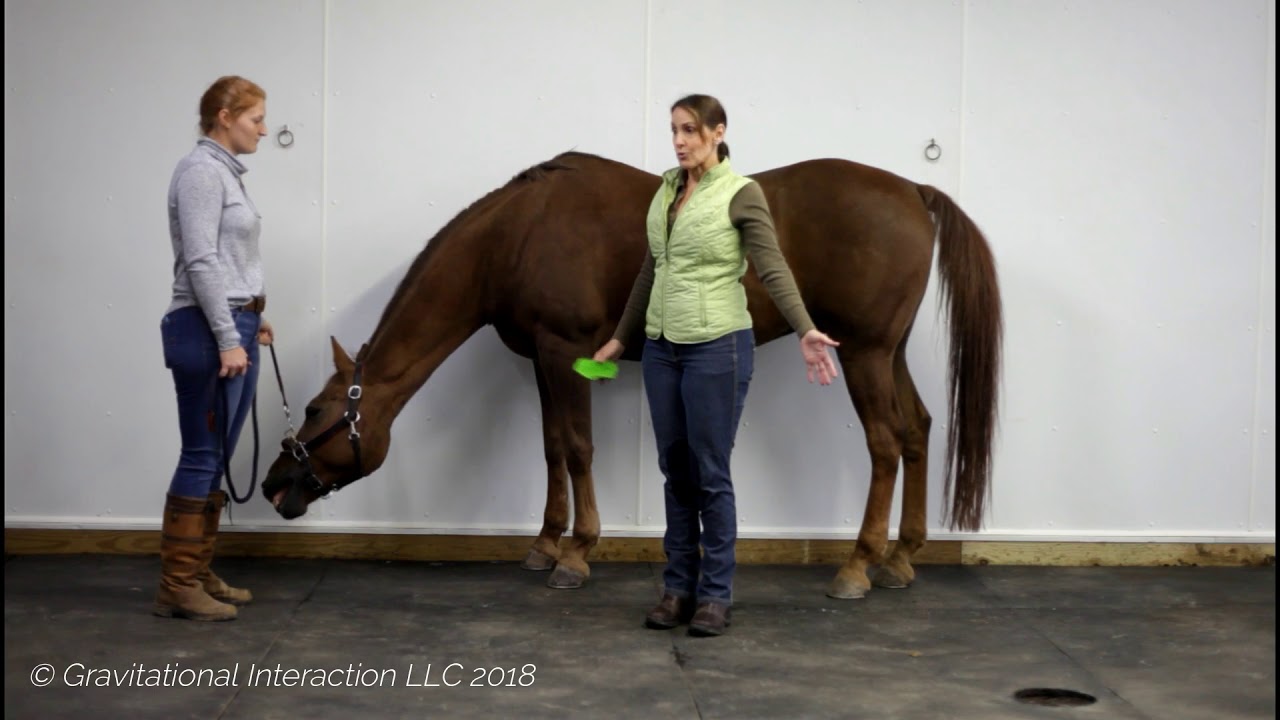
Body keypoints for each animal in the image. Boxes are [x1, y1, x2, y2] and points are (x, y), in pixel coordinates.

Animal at [261, 151, 1002, 600]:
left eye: (318, 411)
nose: (271, 485)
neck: (514, 237)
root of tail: (913, 191)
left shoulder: (564, 351)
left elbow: (578, 448)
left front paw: (577, 552)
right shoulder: (543, 360)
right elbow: (553, 448)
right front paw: (545, 543)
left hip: (864, 354)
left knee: (884, 444)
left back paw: (858, 565)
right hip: (885, 353)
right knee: (917, 431)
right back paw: (901, 557)